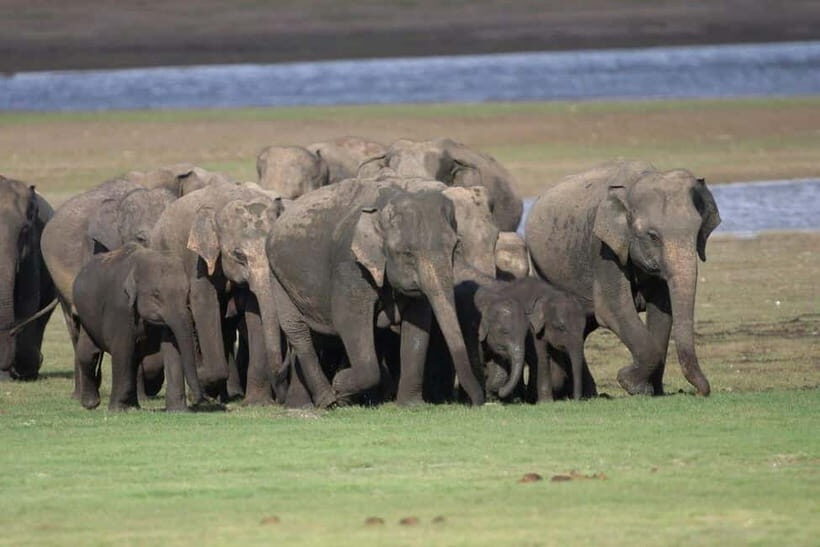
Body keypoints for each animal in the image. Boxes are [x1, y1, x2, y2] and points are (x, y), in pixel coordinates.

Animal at [73, 243, 203, 411]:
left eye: (188, 292)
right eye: (156, 294)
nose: (198, 400)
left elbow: (172, 348)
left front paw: (178, 411)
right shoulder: (120, 308)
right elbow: (122, 349)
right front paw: (116, 410)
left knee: (133, 359)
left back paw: (133, 406)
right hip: (86, 317)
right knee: (89, 354)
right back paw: (92, 404)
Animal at [150, 181, 284, 403]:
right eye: (239, 255)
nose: (280, 398)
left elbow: (254, 309)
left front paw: (257, 402)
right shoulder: (197, 259)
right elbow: (203, 302)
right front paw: (205, 380)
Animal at [266, 177, 486, 408]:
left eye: (455, 248)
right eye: (407, 253)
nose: (475, 402)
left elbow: (419, 322)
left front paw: (412, 405)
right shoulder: (350, 265)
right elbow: (348, 321)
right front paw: (339, 386)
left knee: (314, 333)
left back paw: (308, 402)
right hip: (277, 278)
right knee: (297, 330)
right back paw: (326, 400)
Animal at [525, 160, 721, 396]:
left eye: (697, 232)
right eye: (652, 236)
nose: (699, 392)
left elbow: (663, 311)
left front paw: (652, 391)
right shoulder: (603, 248)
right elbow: (613, 309)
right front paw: (630, 383)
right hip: (541, 269)